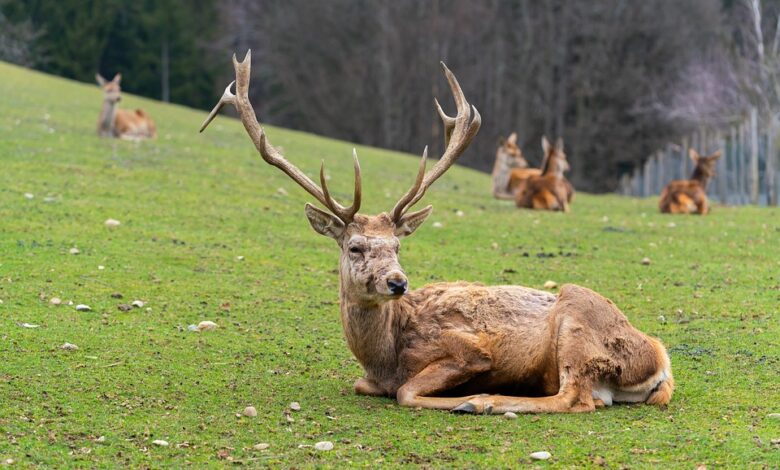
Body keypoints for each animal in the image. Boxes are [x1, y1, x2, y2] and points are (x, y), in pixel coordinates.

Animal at [200, 49, 672, 414]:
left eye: (397, 245)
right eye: (355, 247)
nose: (397, 282)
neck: (384, 355)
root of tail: (660, 360)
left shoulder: (470, 349)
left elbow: (407, 391)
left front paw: (462, 396)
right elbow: (364, 384)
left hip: (577, 318)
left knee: (575, 398)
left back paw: (482, 402)